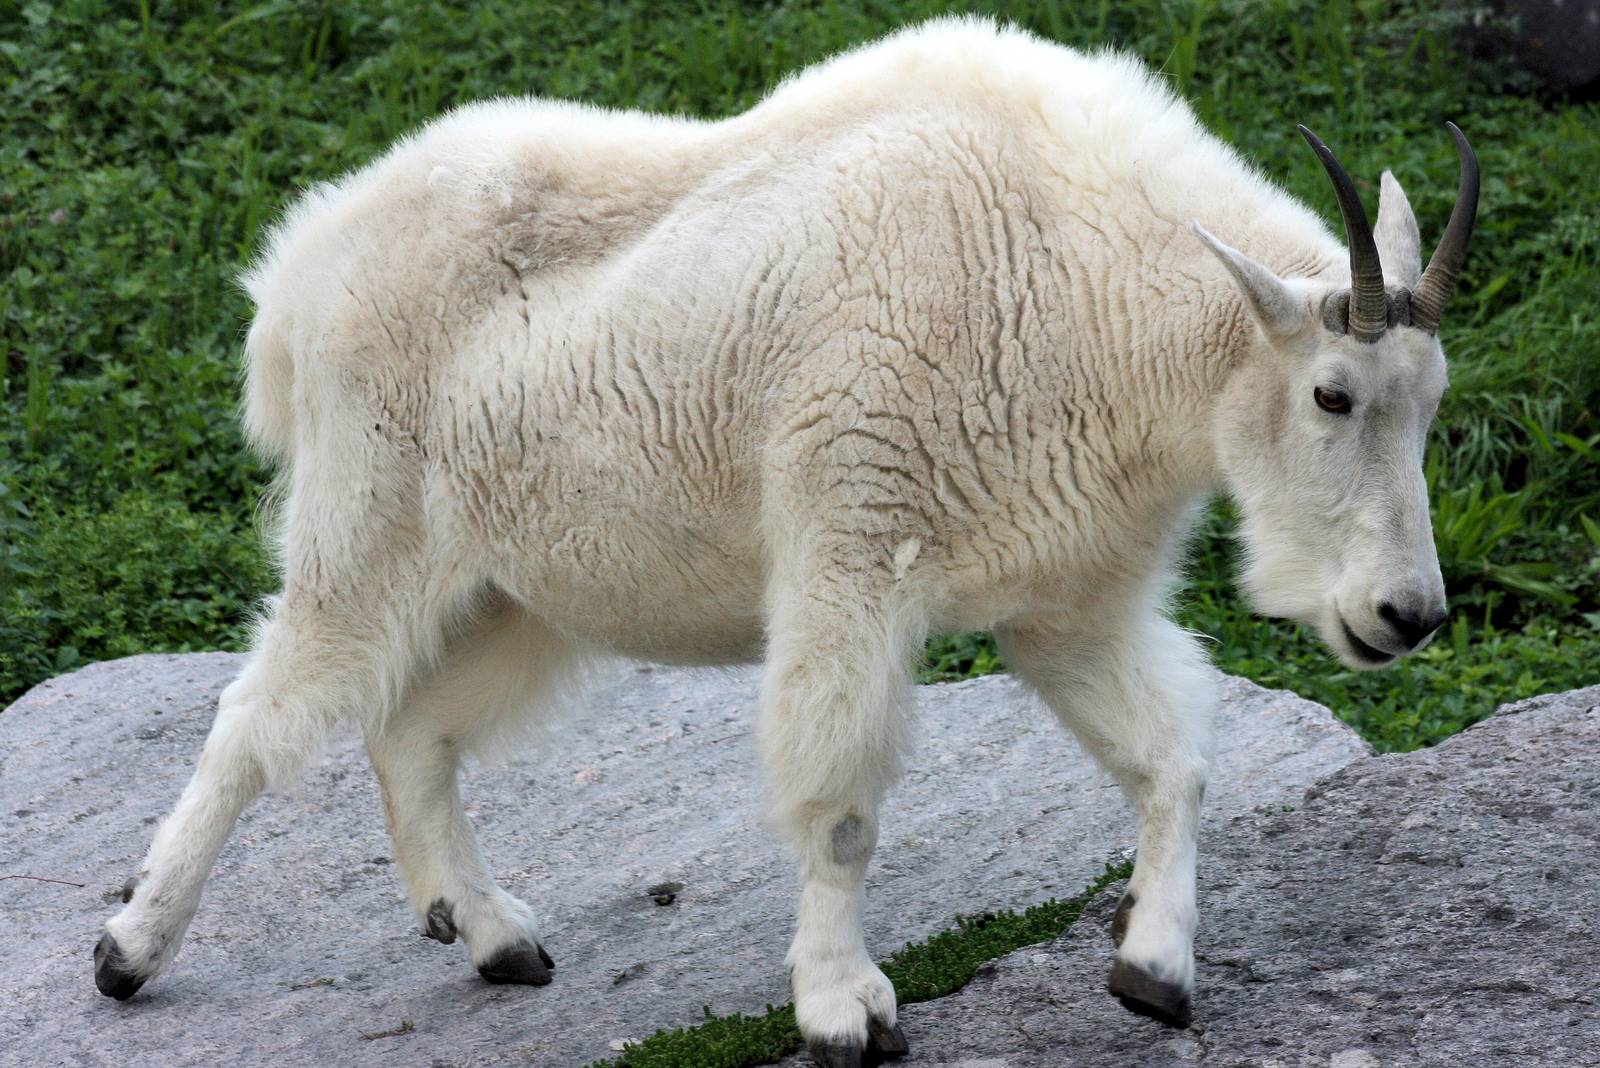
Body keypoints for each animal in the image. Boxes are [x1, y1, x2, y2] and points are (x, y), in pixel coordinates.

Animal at [94, 19, 1476, 1065]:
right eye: (1332, 395)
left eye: (1430, 400)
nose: (1404, 617)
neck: (1086, 284)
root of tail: (296, 272)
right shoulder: (849, 549)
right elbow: (842, 804)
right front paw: (842, 1011)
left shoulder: (1065, 604)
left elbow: (1169, 760)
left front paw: (1155, 972)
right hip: (367, 522)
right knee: (258, 718)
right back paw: (129, 951)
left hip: (520, 584)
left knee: (414, 730)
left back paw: (493, 936)